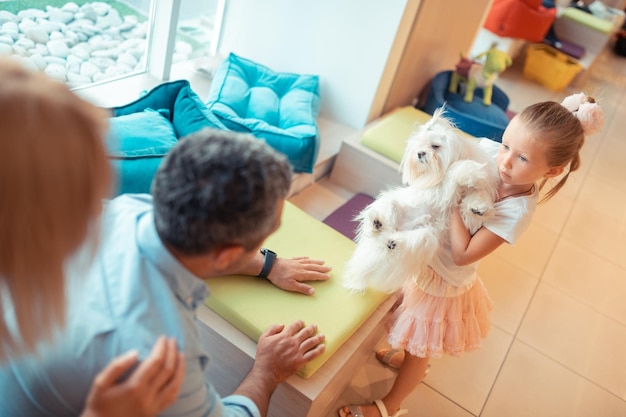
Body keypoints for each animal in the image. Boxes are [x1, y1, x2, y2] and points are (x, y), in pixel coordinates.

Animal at [342, 109, 498, 292]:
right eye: (419, 146)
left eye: (435, 146)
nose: (420, 153)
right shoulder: (440, 191)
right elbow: (454, 172)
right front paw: (470, 173)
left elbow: (476, 199)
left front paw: (478, 207)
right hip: (390, 202)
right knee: (378, 229)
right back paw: (377, 223)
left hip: (427, 236)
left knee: (399, 242)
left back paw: (392, 242)